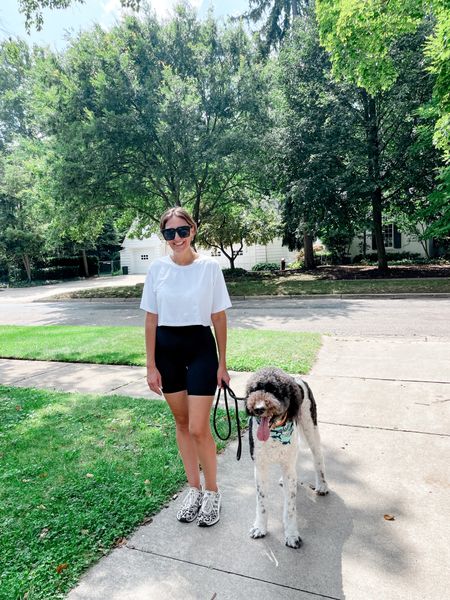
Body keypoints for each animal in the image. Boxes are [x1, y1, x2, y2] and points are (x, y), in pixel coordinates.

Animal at [244, 366, 328, 548]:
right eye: (254, 389)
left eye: (275, 391)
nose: (259, 408)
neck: (275, 432)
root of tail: (296, 378)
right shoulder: (260, 468)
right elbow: (262, 502)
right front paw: (260, 527)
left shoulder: (288, 466)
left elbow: (290, 507)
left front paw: (291, 534)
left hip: (311, 428)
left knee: (318, 457)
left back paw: (322, 485)